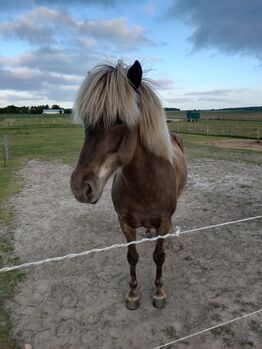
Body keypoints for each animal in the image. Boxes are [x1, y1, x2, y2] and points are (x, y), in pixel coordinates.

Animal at [70, 60, 187, 310]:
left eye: (119, 120)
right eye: (86, 121)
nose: (80, 187)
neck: (144, 186)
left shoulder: (164, 221)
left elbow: (159, 256)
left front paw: (159, 293)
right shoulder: (124, 222)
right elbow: (131, 257)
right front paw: (133, 295)